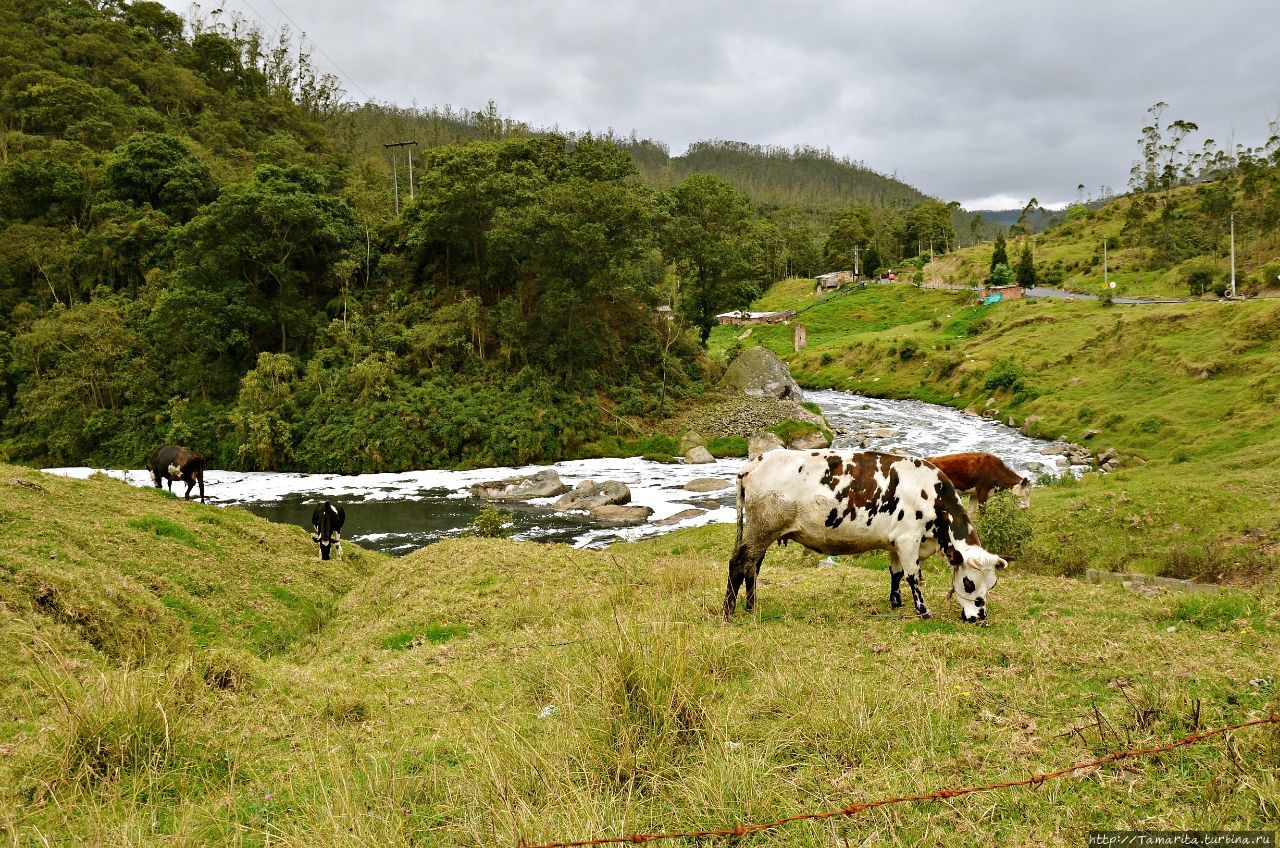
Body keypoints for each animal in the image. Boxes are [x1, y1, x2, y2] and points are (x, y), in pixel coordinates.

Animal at [727, 450, 1003, 625]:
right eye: (968, 583)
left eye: (992, 584)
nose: (980, 618)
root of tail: (754, 463)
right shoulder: (908, 540)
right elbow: (913, 577)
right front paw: (923, 611)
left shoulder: (896, 542)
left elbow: (896, 573)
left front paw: (895, 602)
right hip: (762, 529)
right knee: (739, 563)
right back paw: (729, 613)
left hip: (762, 532)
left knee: (752, 566)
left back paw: (751, 607)